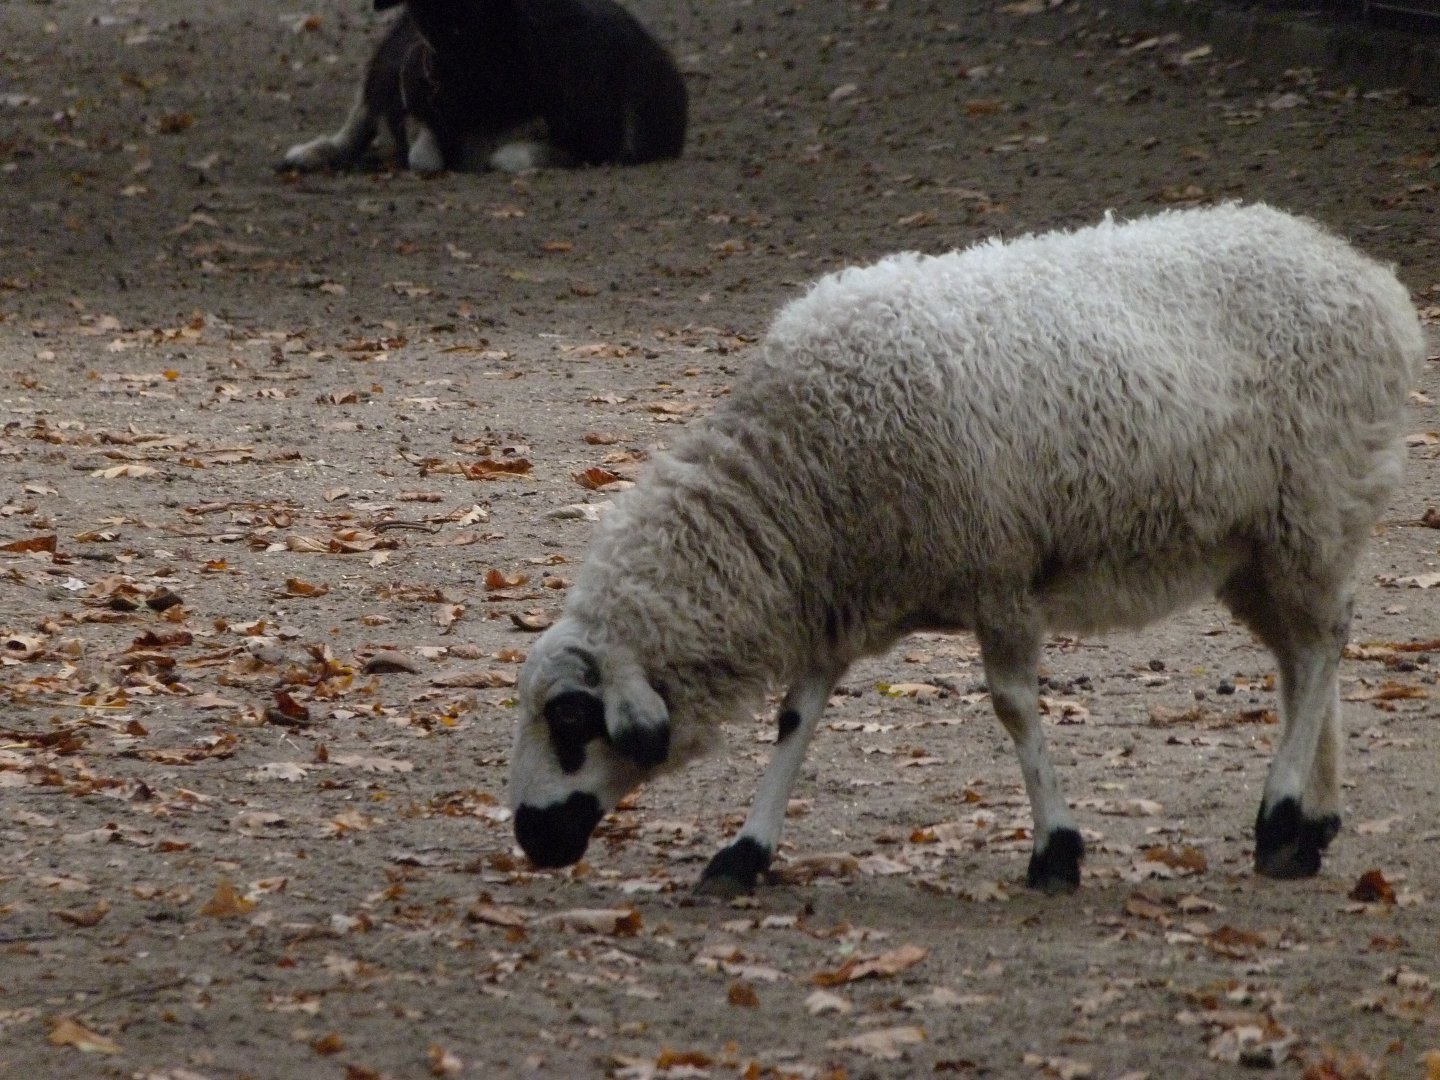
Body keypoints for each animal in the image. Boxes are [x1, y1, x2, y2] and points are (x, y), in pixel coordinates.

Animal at [508, 203, 1424, 898]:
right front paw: (742, 854)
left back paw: (1281, 818)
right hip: (1254, 544)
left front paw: (1056, 851)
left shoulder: (999, 575)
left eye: (569, 718)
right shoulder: (847, 587)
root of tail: (1368, 275)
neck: (796, 483)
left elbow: (1015, 708)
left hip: (1313, 508)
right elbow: (798, 717)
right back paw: (1309, 829)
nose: (529, 837)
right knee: (1302, 657)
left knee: (1324, 644)